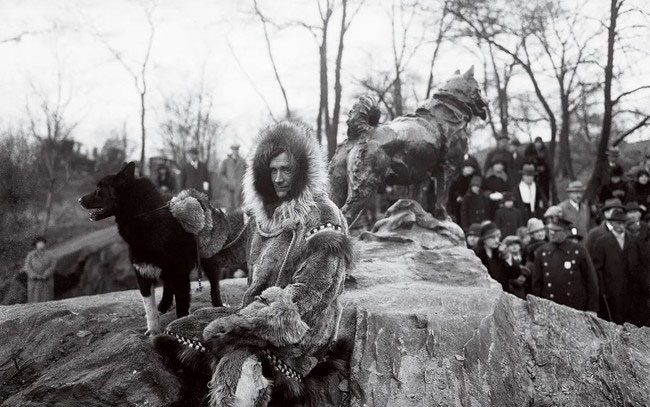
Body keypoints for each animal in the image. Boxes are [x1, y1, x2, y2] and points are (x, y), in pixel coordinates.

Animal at [79, 163, 246, 334]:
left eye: (99, 190)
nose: (79, 200)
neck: (148, 222)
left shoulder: (181, 277)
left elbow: (182, 310)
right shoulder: (142, 274)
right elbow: (149, 309)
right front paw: (153, 331)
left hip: (206, 261)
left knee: (214, 285)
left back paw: (218, 305)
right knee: (167, 287)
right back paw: (163, 306)